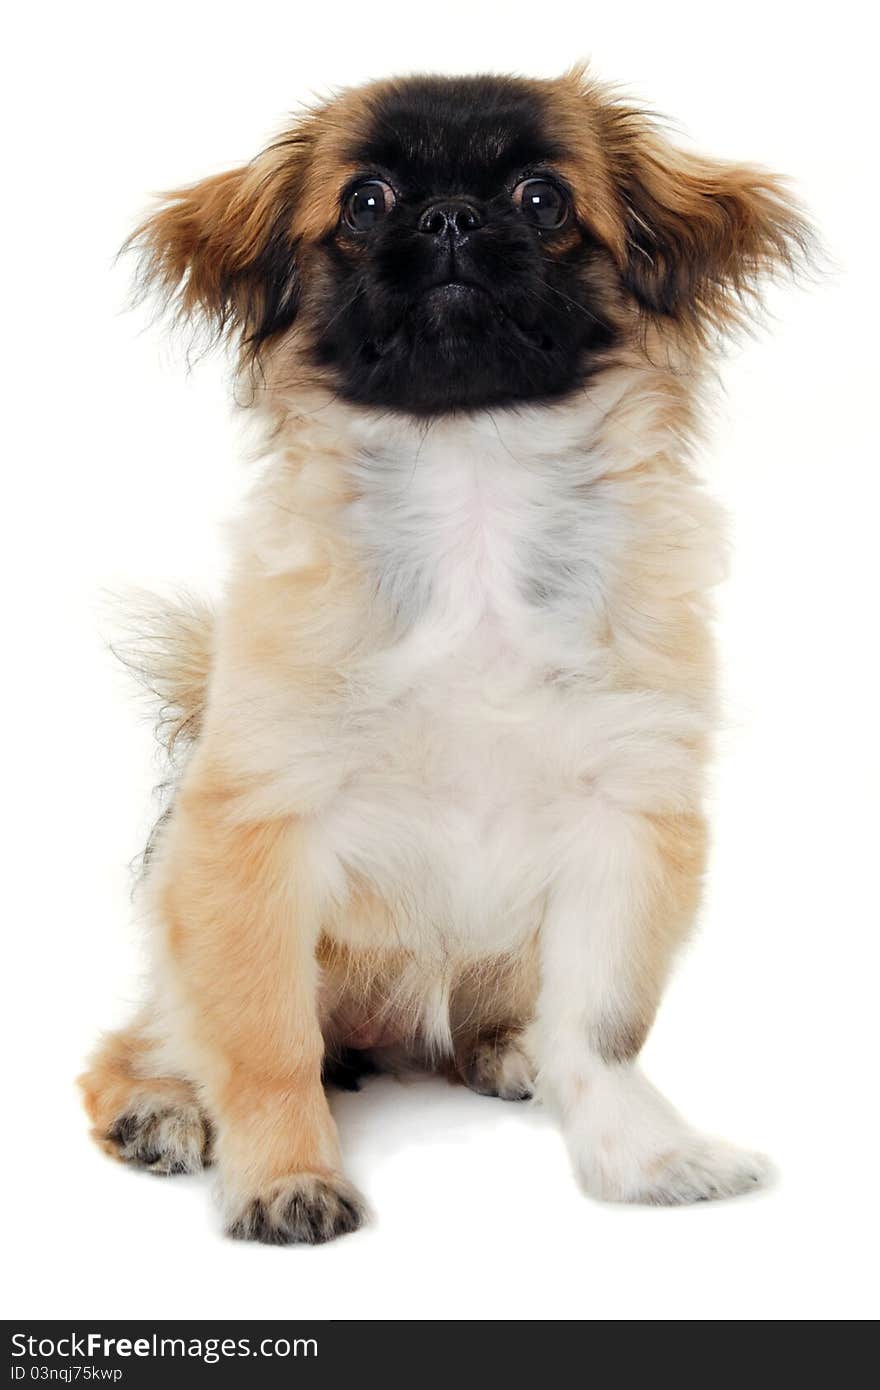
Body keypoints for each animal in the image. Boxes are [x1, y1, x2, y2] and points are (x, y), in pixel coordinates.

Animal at [80, 65, 811, 1245]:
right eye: (366, 201)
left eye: (542, 200)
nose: (451, 219)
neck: (473, 486)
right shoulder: (255, 836)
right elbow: (267, 1043)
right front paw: (283, 1176)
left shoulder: (626, 817)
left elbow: (601, 1027)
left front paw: (645, 1157)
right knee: (149, 1044)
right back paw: (165, 1108)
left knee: (501, 1019)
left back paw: (507, 1052)